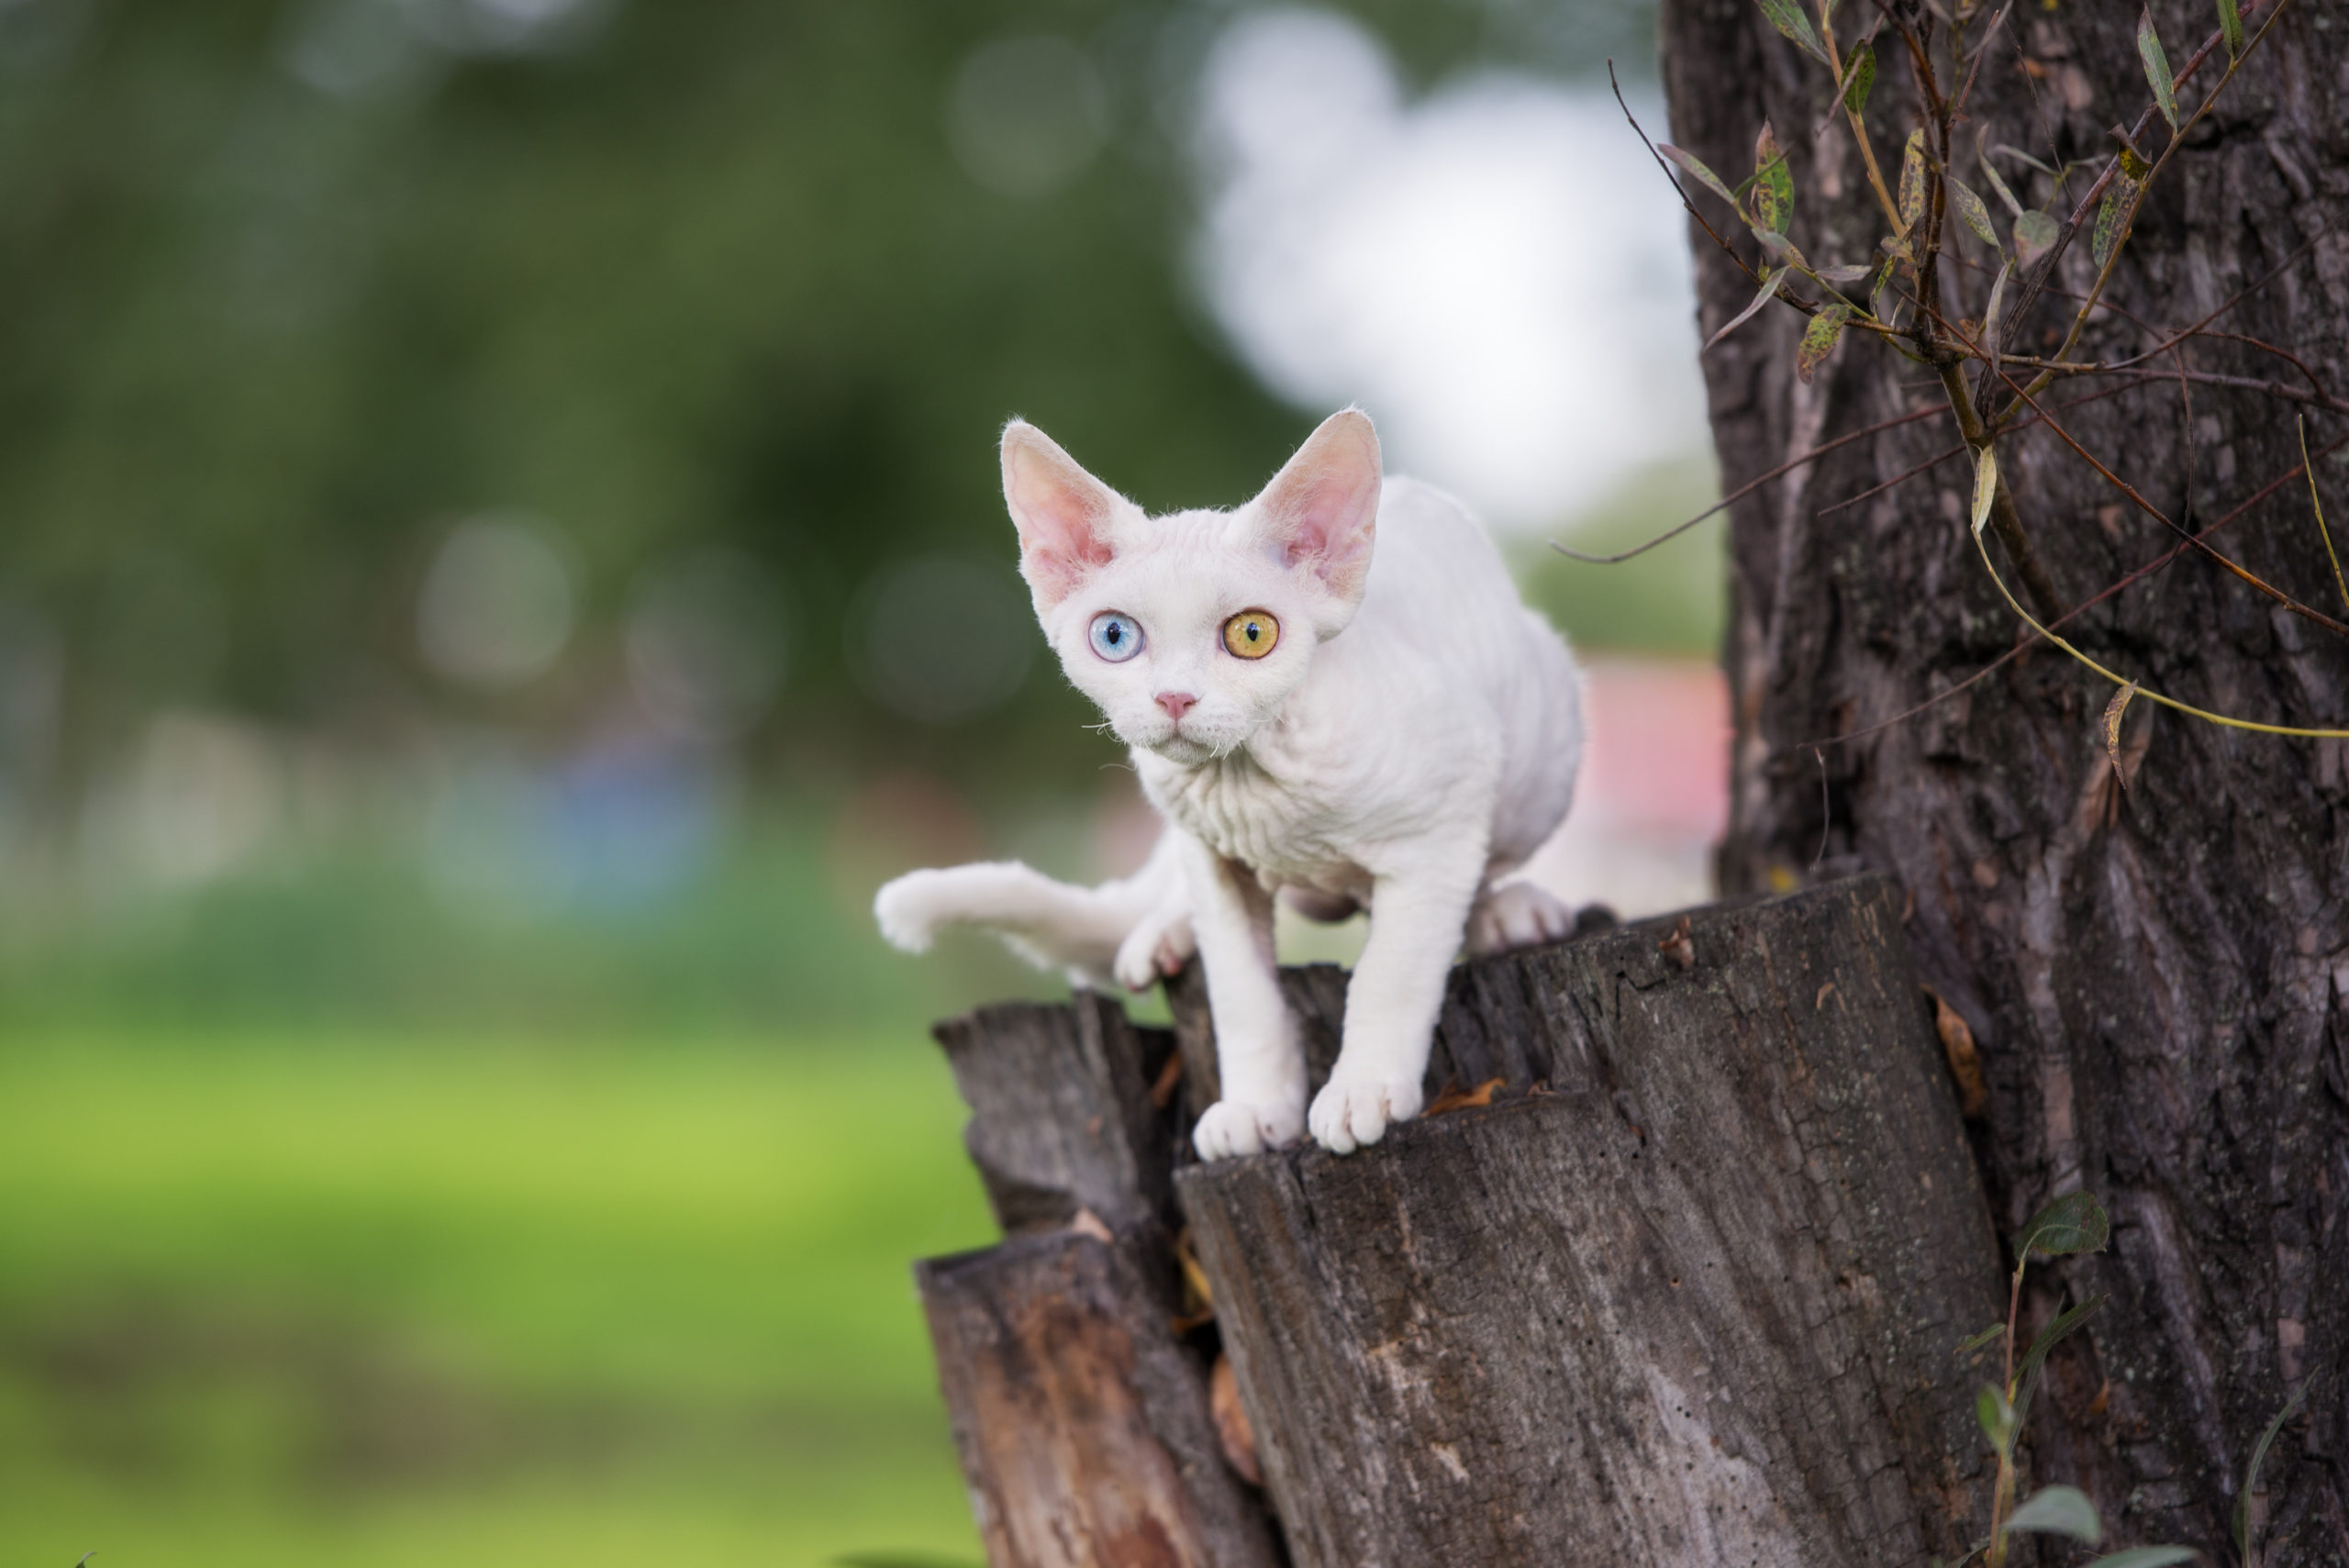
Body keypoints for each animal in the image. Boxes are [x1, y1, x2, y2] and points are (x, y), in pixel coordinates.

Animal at [874, 410, 1587, 1159]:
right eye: (1115, 636)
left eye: (1251, 633)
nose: (1175, 698)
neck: (1249, 776)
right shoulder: (1213, 860)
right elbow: (1243, 997)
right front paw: (1255, 1107)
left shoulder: (1446, 812)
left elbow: (1390, 972)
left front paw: (1361, 1090)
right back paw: (1166, 932)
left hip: (1540, 750)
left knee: (1480, 870)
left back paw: (1505, 913)